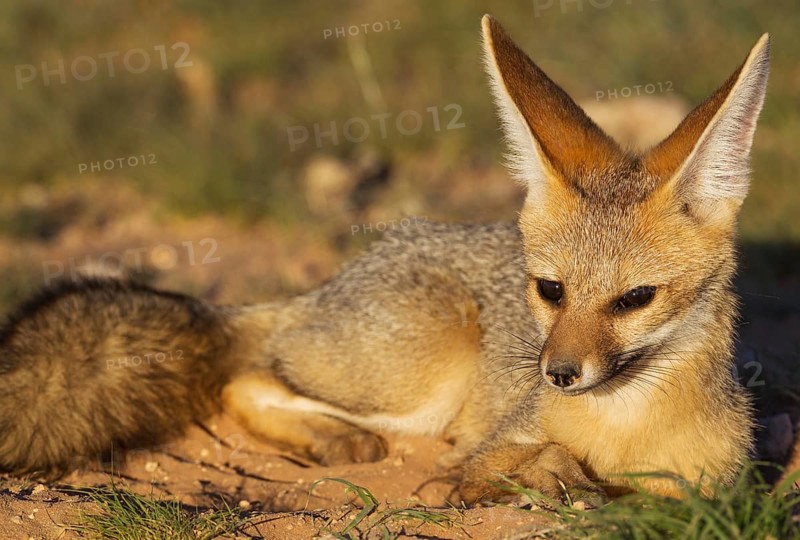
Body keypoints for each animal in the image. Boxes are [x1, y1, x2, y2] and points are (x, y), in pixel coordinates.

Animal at [0, 15, 770, 506]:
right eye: (551, 289)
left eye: (634, 299)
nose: (555, 374)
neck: (624, 427)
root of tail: (330, 282)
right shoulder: (490, 447)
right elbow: (517, 466)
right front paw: (560, 481)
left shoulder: (717, 490)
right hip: (424, 379)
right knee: (245, 378)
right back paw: (329, 436)